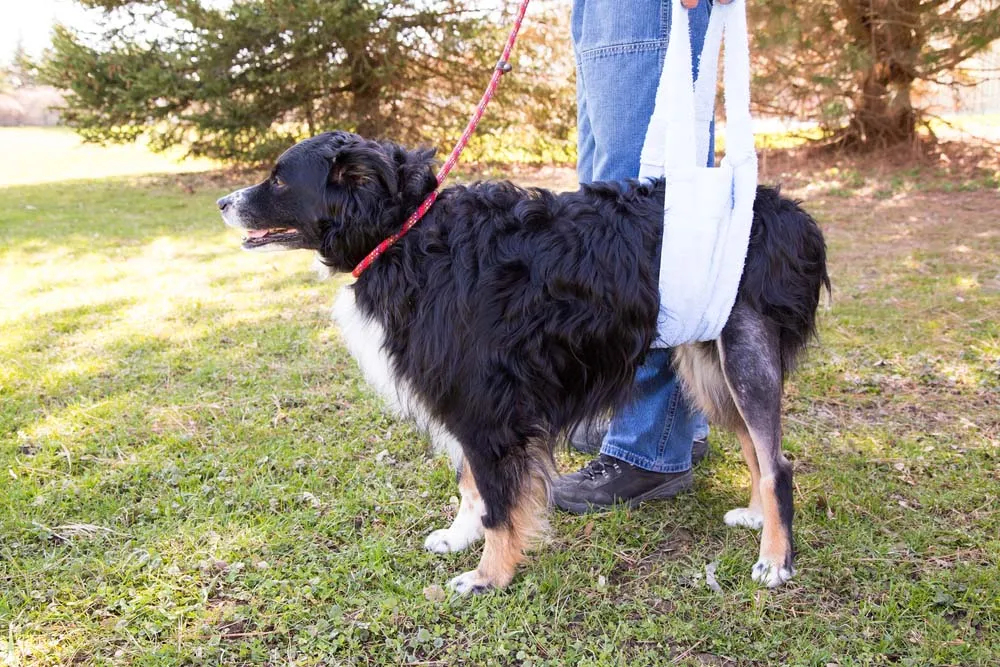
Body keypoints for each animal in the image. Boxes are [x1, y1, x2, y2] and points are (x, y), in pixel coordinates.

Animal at [217, 130, 828, 596]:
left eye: (279, 179)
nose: (223, 202)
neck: (406, 234)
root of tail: (786, 212)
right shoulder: (466, 399)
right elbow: (471, 484)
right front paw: (459, 537)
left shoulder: (487, 406)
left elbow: (498, 501)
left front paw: (489, 575)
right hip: (709, 360)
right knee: (756, 449)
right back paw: (756, 516)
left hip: (742, 352)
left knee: (777, 463)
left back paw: (775, 559)